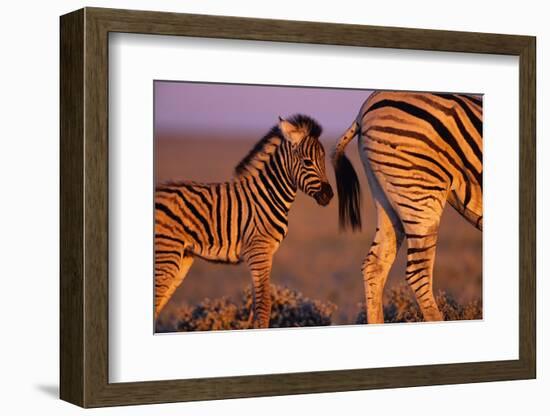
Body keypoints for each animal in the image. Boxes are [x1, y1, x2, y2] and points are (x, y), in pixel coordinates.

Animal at [153, 114, 334, 328]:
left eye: (324, 161)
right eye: (307, 162)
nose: (329, 196)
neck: (268, 194)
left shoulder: (264, 253)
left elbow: (257, 305)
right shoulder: (259, 251)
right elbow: (264, 305)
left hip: (182, 258)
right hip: (166, 253)